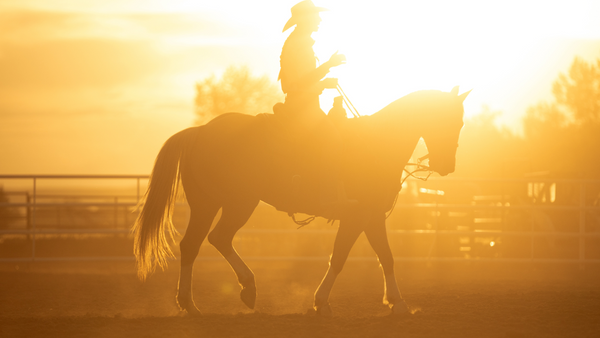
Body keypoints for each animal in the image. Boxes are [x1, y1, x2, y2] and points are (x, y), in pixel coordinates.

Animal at [134, 86, 472, 316]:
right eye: (448, 121)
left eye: (460, 123)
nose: (446, 166)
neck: (375, 144)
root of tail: (199, 132)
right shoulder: (357, 217)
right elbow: (340, 257)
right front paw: (321, 301)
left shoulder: (373, 216)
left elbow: (386, 257)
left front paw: (397, 302)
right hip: (232, 204)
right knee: (210, 240)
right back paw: (227, 293)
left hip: (215, 204)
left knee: (199, 244)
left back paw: (206, 300)